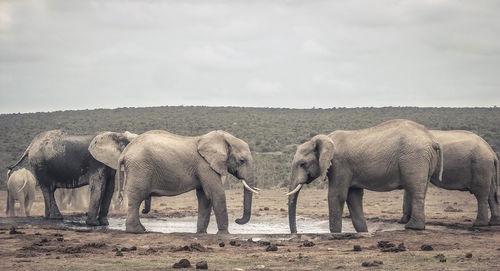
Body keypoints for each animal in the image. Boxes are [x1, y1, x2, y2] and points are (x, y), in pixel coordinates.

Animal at [7, 131, 137, 226]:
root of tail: (30, 146)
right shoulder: (96, 163)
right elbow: (99, 187)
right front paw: (93, 224)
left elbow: (109, 188)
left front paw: (105, 223)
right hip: (40, 164)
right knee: (48, 188)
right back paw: (57, 218)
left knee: (48, 189)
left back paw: (48, 217)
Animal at [115, 131, 260, 235]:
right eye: (241, 160)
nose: (238, 220)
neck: (221, 138)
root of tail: (124, 152)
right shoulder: (204, 165)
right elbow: (216, 193)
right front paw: (224, 234)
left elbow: (204, 197)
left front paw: (201, 233)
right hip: (140, 167)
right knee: (136, 197)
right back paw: (137, 231)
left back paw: (142, 229)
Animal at [288, 120, 444, 235]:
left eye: (302, 164)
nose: (296, 233)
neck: (326, 139)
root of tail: (432, 140)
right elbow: (353, 197)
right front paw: (363, 232)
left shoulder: (340, 164)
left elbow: (336, 195)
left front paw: (336, 233)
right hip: (423, 159)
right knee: (420, 188)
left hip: (414, 158)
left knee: (414, 188)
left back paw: (413, 227)